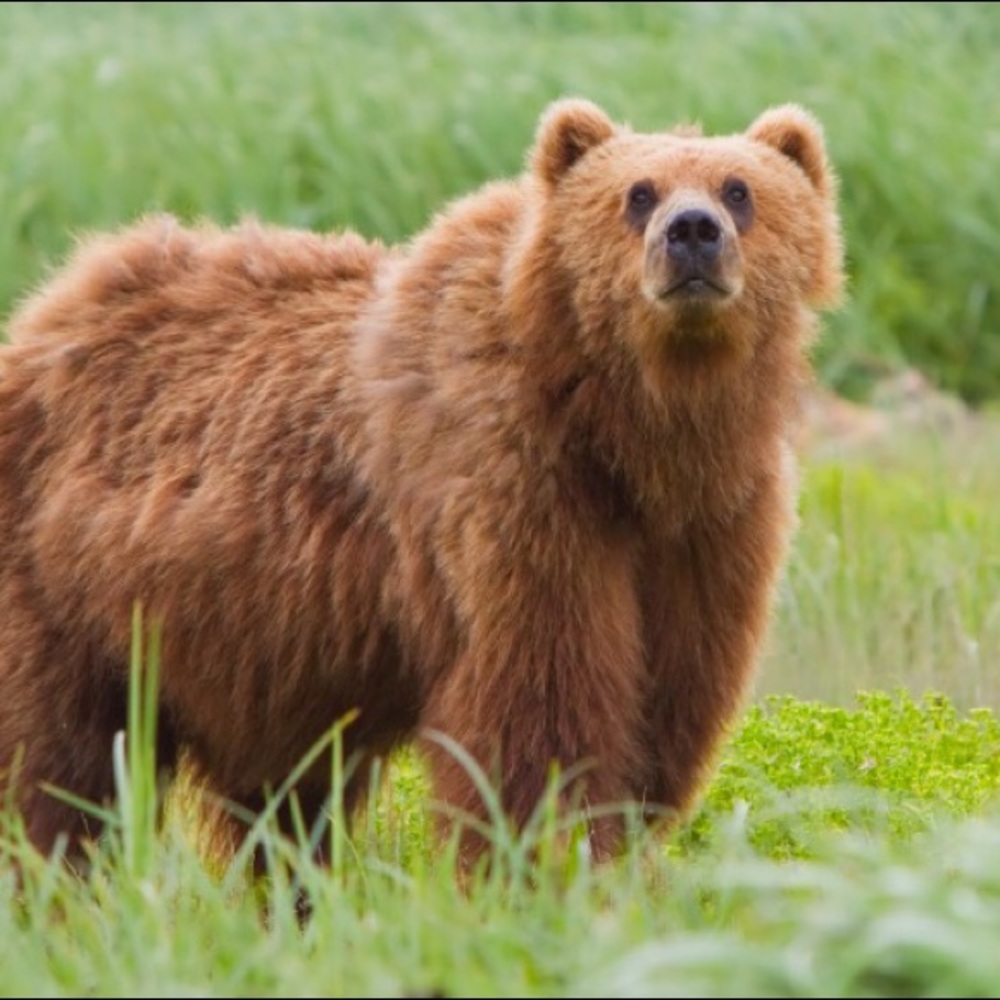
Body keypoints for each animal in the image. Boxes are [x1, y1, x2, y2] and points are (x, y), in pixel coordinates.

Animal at [0, 98, 843, 868]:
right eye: (637, 193)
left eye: (739, 188)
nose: (692, 232)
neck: (631, 432)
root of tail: (44, 311)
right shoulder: (513, 493)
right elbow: (540, 708)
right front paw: (549, 861)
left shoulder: (708, 529)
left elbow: (667, 703)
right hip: (61, 583)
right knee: (57, 766)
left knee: (285, 798)